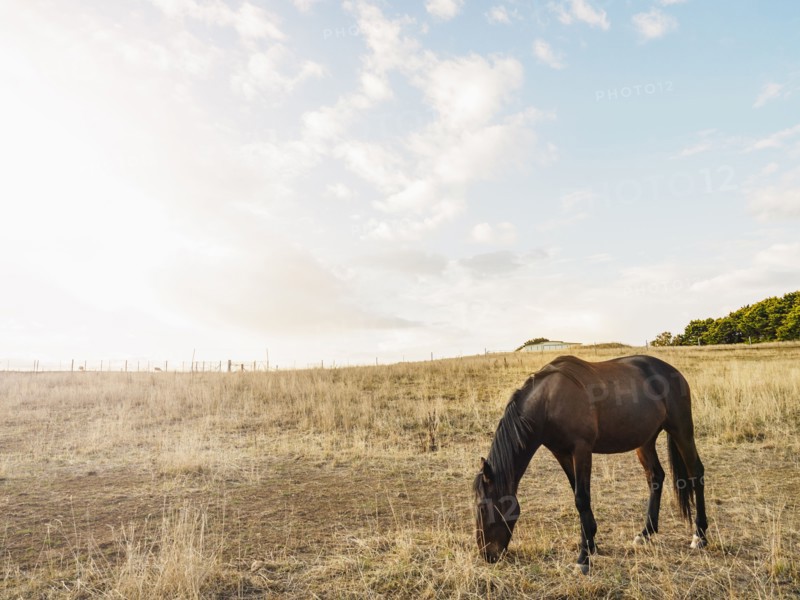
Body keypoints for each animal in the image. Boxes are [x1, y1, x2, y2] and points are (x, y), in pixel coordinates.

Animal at [473, 354, 708, 573]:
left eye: (483, 507)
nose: (487, 555)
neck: (547, 401)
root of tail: (671, 371)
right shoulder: (561, 453)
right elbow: (577, 493)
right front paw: (591, 543)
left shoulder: (582, 450)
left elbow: (582, 498)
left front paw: (584, 558)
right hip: (645, 440)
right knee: (655, 477)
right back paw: (645, 533)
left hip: (681, 430)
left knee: (696, 472)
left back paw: (700, 535)